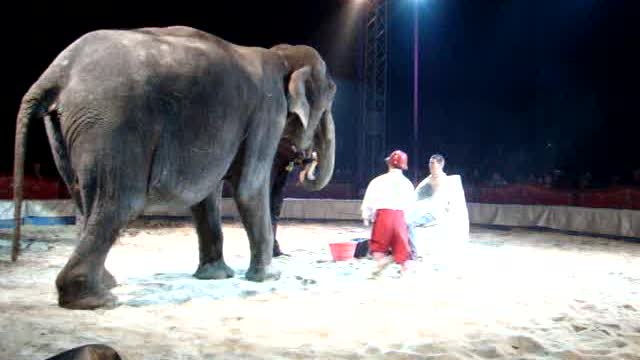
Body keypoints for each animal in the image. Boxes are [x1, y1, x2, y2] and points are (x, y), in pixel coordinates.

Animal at [12, 26, 338, 310]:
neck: (281, 54)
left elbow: (207, 195)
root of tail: (57, 73)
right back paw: (96, 299)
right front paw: (269, 277)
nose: (305, 164)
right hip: (112, 123)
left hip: (67, 128)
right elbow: (248, 188)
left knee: (83, 201)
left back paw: (105, 283)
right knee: (118, 203)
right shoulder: (267, 111)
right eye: (329, 99)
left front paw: (216, 276)